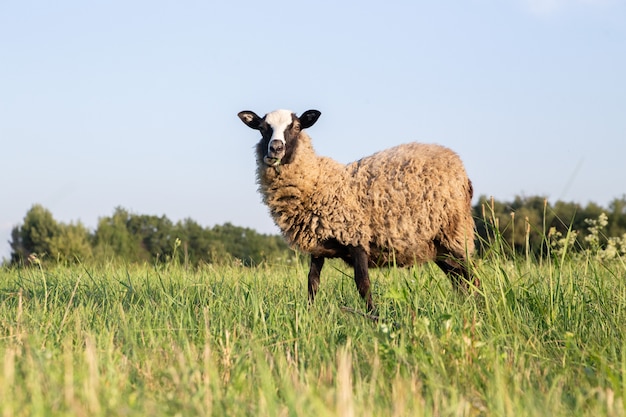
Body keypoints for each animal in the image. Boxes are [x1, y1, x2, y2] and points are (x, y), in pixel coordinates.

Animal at [236, 109, 476, 310]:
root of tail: (461, 169)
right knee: (459, 279)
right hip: (438, 245)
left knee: (471, 277)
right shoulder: (318, 247)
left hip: (455, 233)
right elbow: (312, 283)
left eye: (296, 126)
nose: (275, 148)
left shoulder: (356, 237)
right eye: (262, 128)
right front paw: (309, 315)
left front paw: (374, 318)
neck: (318, 182)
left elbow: (363, 284)